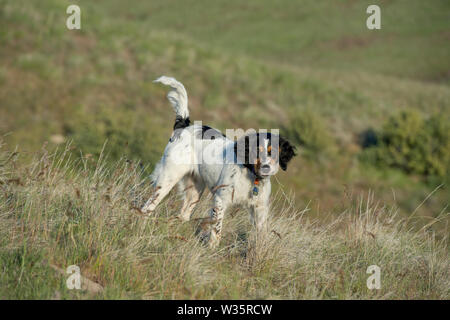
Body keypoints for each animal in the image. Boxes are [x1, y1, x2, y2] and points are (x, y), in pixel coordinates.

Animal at [141, 75, 296, 248]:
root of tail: (184, 126)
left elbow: (261, 235)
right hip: (167, 179)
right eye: (257, 151)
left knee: (183, 215)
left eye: (273, 152)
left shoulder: (259, 208)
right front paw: (212, 248)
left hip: (194, 191)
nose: (266, 167)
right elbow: (217, 229)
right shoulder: (221, 199)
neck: (251, 175)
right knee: (147, 207)